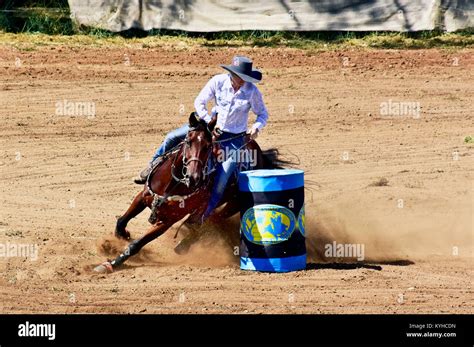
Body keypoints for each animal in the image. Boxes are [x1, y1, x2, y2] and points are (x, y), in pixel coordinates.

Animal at [94, 113, 284, 274]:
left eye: (208, 146)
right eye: (188, 141)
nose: (193, 177)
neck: (171, 184)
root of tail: (259, 155)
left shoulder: (168, 220)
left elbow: (137, 244)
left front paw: (110, 264)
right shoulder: (144, 196)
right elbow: (122, 220)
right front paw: (119, 238)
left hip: (234, 203)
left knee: (212, 219)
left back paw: (184, 245)